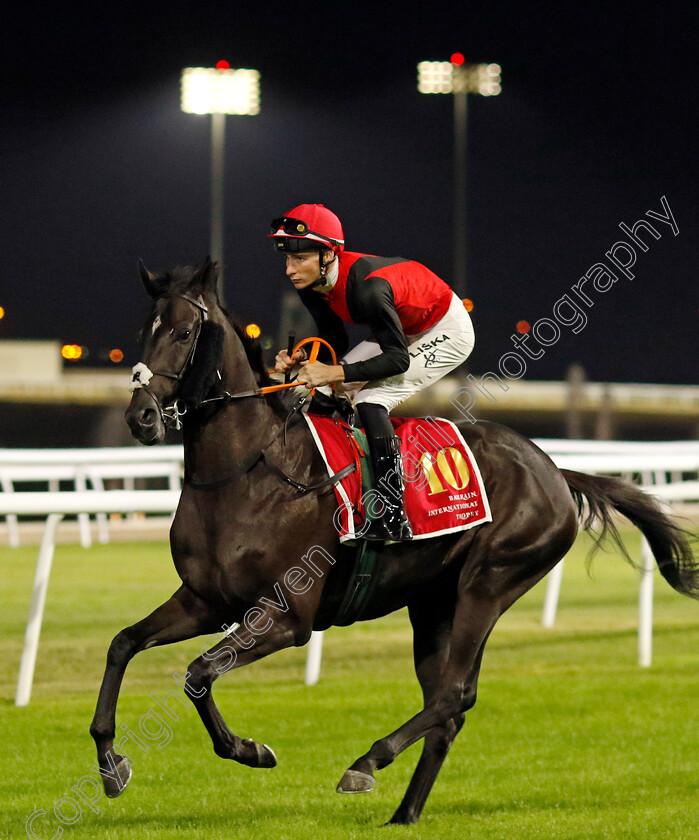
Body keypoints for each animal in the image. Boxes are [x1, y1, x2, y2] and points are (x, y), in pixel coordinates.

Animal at [89, 260, 699, 824]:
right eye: (144, 330)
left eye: (182, 333)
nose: (141, 417)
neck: (248, 470)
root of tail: (553, 470)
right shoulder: (206, 600)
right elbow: (124, 644)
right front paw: (112, 765)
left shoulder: (287, 617)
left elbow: (198, 672)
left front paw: (250, 749)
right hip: (433, 603)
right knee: (448, 709)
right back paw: (404, 812)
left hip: (490, 582)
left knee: (453, 694)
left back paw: (366, 763)